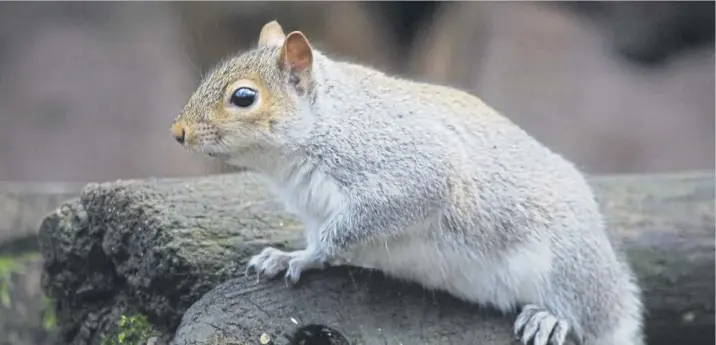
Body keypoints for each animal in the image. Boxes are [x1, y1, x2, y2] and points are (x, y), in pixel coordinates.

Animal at [171, 20, 648, 344]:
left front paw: (302, 257)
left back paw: (554, 317)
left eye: (243, 97)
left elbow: (347, 230)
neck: (325, 124)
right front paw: (286, 255)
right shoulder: (313, 209)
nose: (178, 132)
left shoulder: (408, 170)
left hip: (569, 263)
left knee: (589, 313)